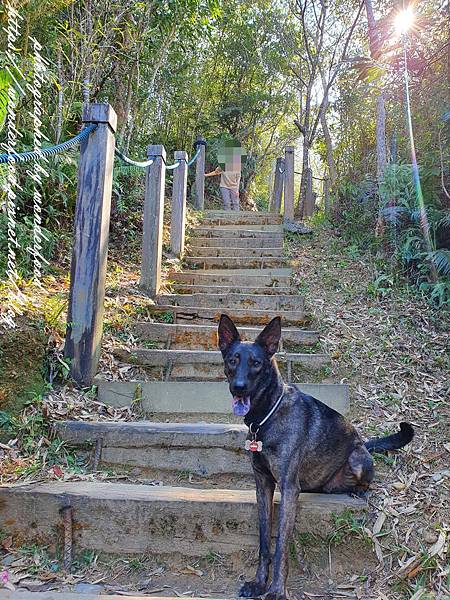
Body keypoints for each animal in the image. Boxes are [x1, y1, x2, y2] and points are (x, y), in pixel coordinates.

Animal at [218, 314, 414, 600]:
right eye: (233, 360)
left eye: (256, 363)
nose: (239, 388)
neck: (267, 416)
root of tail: (362, 443)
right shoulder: (262, 485)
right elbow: (265, 541)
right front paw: (259, 583)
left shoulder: (288, 488)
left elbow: (281, 545)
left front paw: (276, 590)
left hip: (358, 459)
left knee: (366, 483)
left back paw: (357, 491)